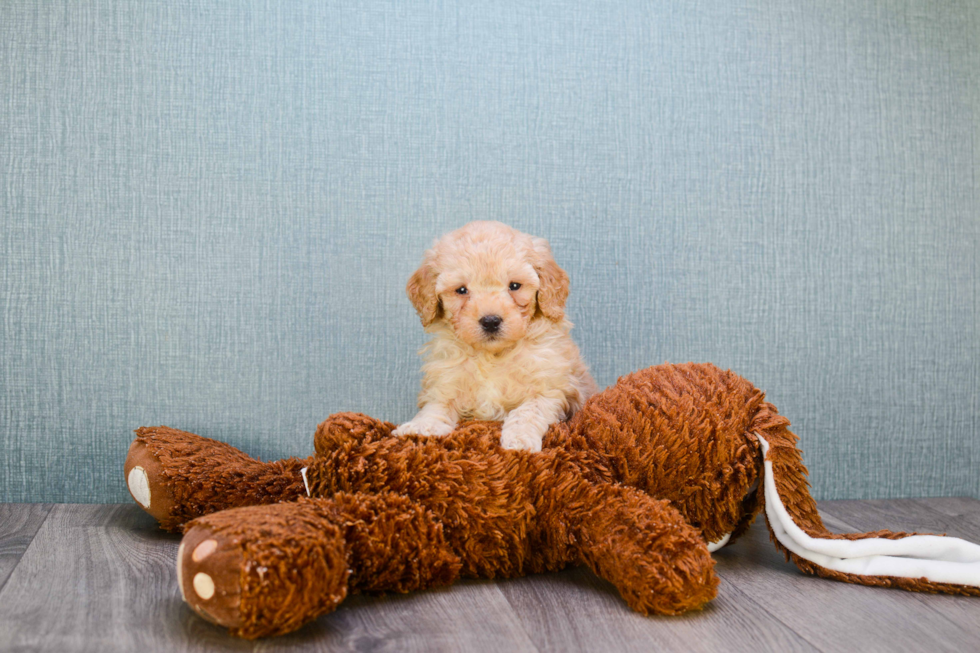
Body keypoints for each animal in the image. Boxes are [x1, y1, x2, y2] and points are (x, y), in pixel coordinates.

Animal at [392, 222, 596, 450]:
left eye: (514, 286)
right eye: (461, 290)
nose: (490, 321)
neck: (492, 355)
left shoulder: (550, 388)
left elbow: (527, 412)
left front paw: (520, 439)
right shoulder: (446, 382)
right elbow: (436, 406)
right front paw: (420, 427)